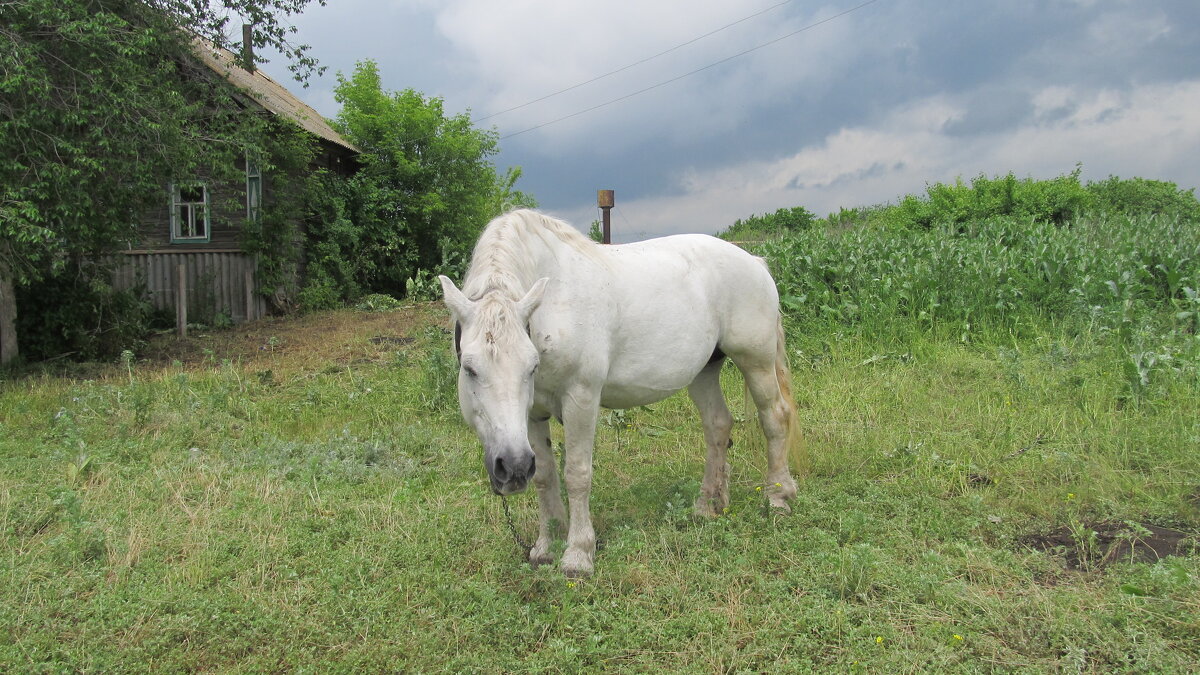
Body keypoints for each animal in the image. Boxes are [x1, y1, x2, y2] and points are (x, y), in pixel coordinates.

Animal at [436, 208, 801, 571]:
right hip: (704, 372)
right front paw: (547, 546)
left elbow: (577, 473)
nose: (512, 468)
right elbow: (544, 476)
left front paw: (578, 553)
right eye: (470, 369)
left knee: (775, 418)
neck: (554, 305)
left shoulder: (581, 399)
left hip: (756, 362)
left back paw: (778, 498)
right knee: (718, 426)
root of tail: (754, 261)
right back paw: (707, 505)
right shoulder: (532, 414)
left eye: (531, 366)